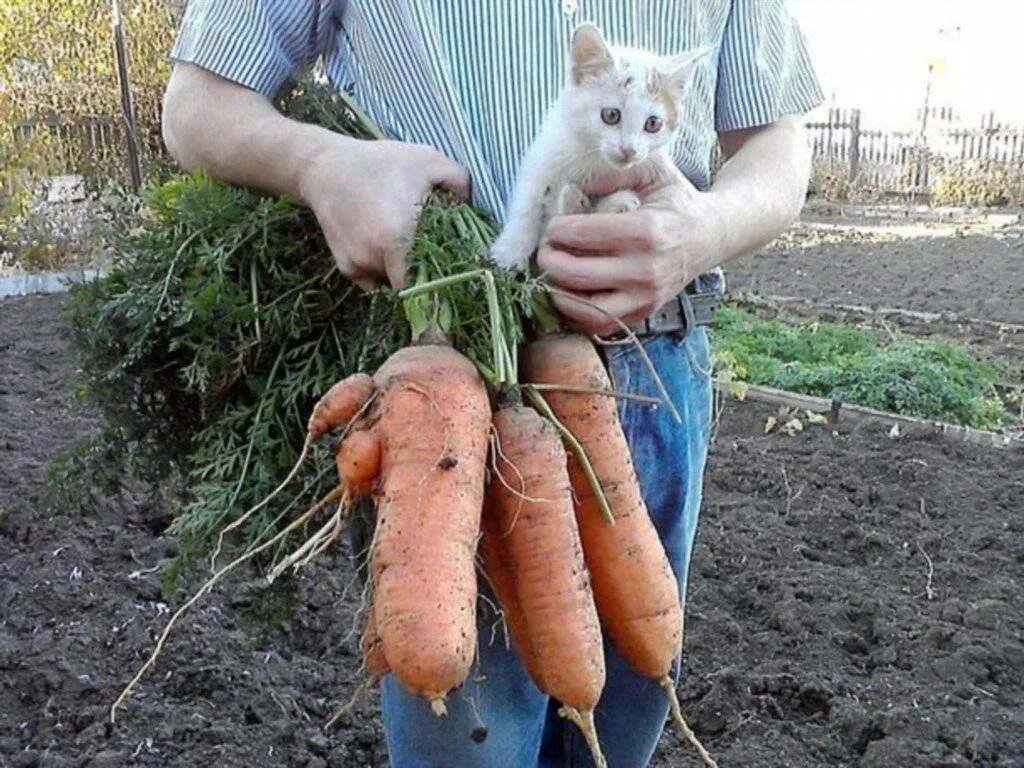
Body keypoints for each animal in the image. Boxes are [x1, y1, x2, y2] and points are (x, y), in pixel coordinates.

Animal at [491, 23, 708, 270]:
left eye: (653, 124)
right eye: (611, 115)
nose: (629, 151)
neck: (594, 158)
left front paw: (614, 202)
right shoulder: (543, 155)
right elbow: (528, 200)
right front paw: (511, 249)